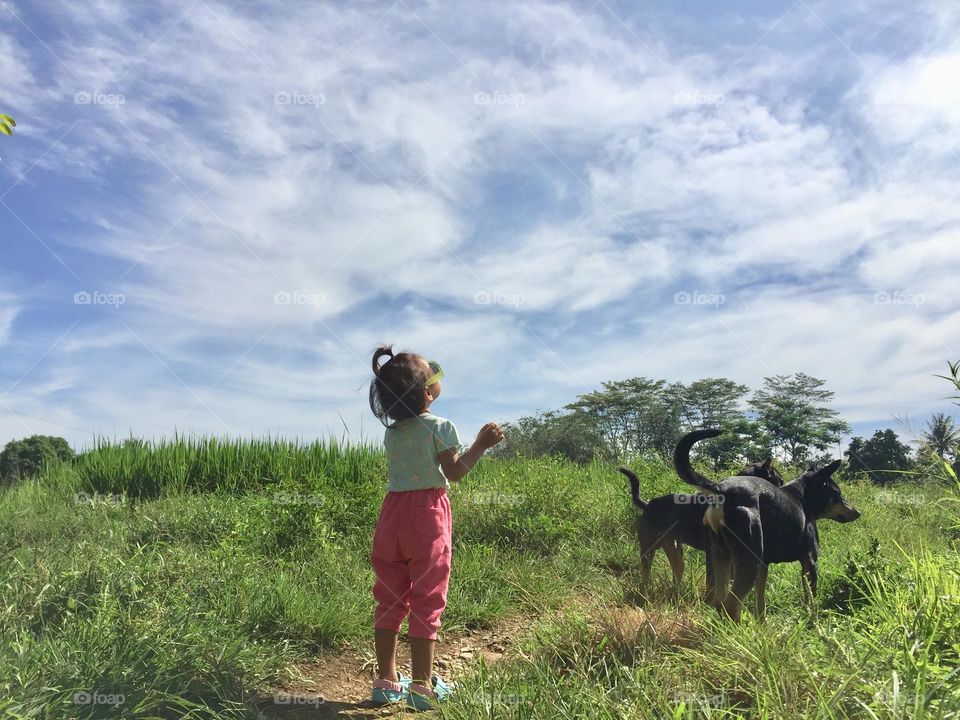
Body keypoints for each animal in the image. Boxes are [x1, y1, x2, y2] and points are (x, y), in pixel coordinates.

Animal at [620, 458, 784, 600]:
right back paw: (644, 595)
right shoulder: (712, 552)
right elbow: (712, 582)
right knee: (645, 573)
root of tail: (648, 505)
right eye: (779, 479)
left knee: (676, 572)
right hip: (648, 548)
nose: (783, 488)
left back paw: (675, 595)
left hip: (675, 551)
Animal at [676, 430, 864, 620]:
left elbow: (760, 600)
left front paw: (762, 622)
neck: (802, 496)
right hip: (749, 562)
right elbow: (811, 600)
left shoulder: (764, 565)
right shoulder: (810, 562)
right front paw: (812, 620)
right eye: (837, 493)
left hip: (721, 555)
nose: (857, 512)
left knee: (720, 600)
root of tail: (722, 491)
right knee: (731, 604)